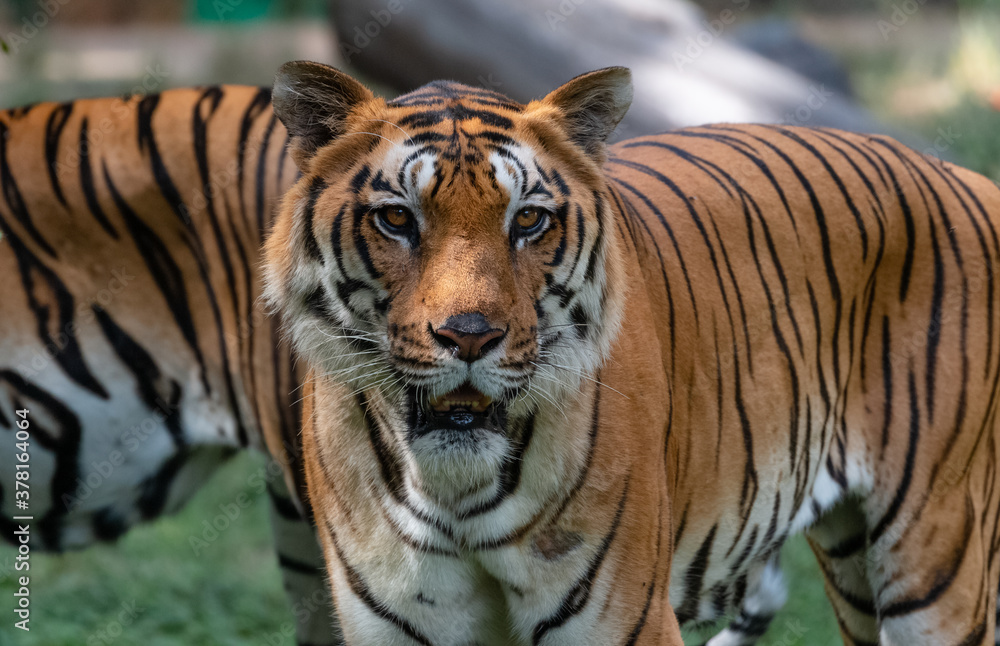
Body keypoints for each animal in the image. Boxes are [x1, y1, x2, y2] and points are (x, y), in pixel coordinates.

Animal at [263, 60, 1000, 645]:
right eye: (397, 218)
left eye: (527, 220)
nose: (469, 335)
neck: (454, 490)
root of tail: (964, 177)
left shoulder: (625, 621)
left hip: (937, 561)